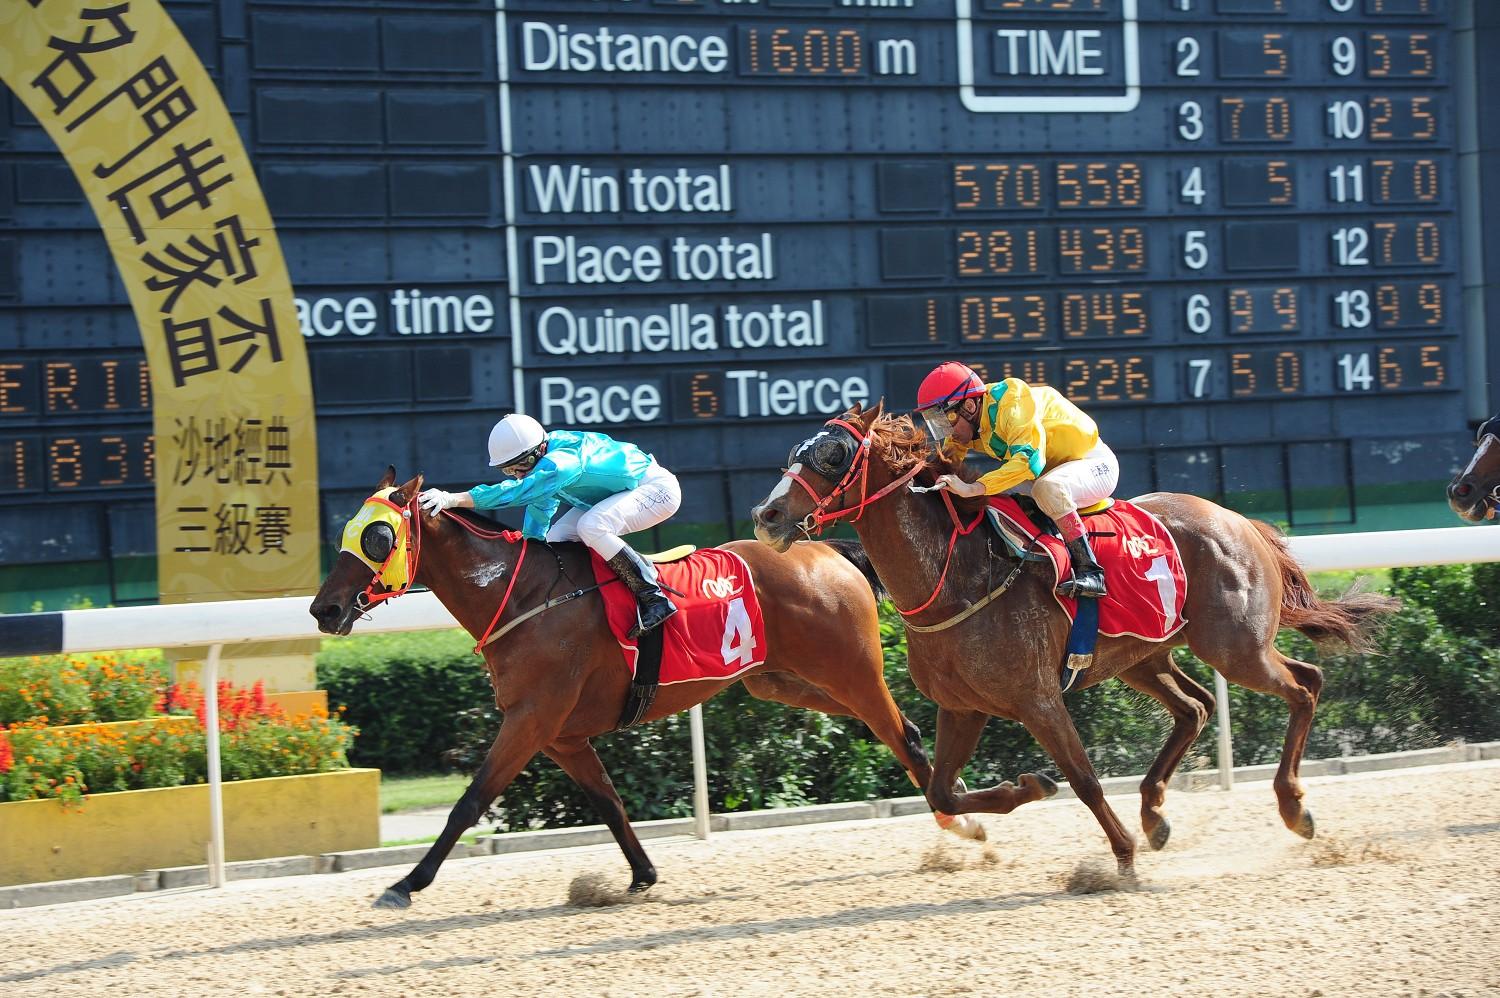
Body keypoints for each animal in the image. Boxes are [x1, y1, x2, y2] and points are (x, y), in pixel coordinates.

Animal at [307, 468, 984, 912]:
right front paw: (642, 874)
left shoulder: (530, 718)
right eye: (348, 532)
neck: (523, 596)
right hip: (783, 683)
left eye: (378, 537)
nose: (323, 608)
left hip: (850, 670)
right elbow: (609, 800)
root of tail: (831, 552)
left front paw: (404, 885)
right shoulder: (561, 734)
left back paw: (963, 824)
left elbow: (469, 802)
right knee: (894, 730)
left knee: (900, 731)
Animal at [750, 402, 1392, 876]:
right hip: (1142, 654)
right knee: (1196, 707)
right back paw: (1156, 813)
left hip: (1235, 648)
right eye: (796, 451)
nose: (767, 516)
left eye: (832, 454)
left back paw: (1292, 806)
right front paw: (1030, 786)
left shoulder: (1037, 698)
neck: (955, 577)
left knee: (1304, 685)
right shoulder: (963, 707)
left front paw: (1121, 855)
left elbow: (1083, 778)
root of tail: (1240, 521)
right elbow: (941, 792)